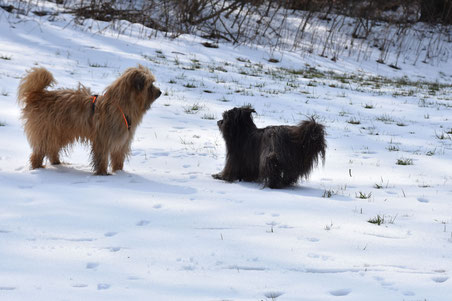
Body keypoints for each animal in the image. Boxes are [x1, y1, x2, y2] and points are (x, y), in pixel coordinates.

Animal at [18, 65, 162, 173]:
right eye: (150, 84)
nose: (160, 92)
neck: (120, 105)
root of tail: (38, 95)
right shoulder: (104, 139)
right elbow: (102, 157)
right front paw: (103, 173)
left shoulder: (121, 141)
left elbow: (118, 157)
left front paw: (119, 173)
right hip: (46, 131)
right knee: (39, 151)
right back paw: (38, 167)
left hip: (60, 132)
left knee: (52, 149)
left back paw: (57, 163)